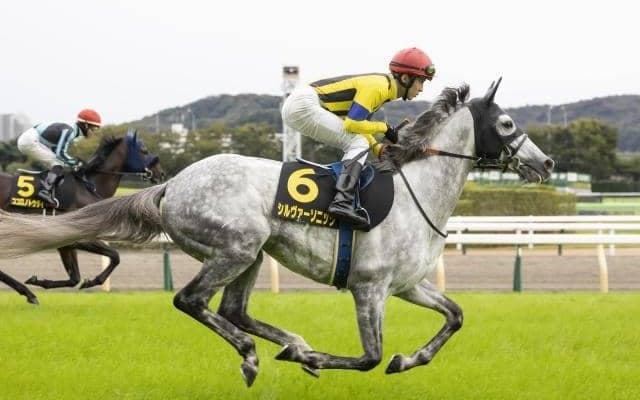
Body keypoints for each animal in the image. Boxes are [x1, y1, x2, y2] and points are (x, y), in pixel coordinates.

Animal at [0, 130, 164, 304]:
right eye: (144, 150)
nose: (161, 173)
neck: (88, 187)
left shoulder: (65, 242)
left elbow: (75, 278)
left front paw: (39, 281)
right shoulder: (74, 235)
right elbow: (115, 256)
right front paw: (92, 281)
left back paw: (28, 292)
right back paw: (27, 292)